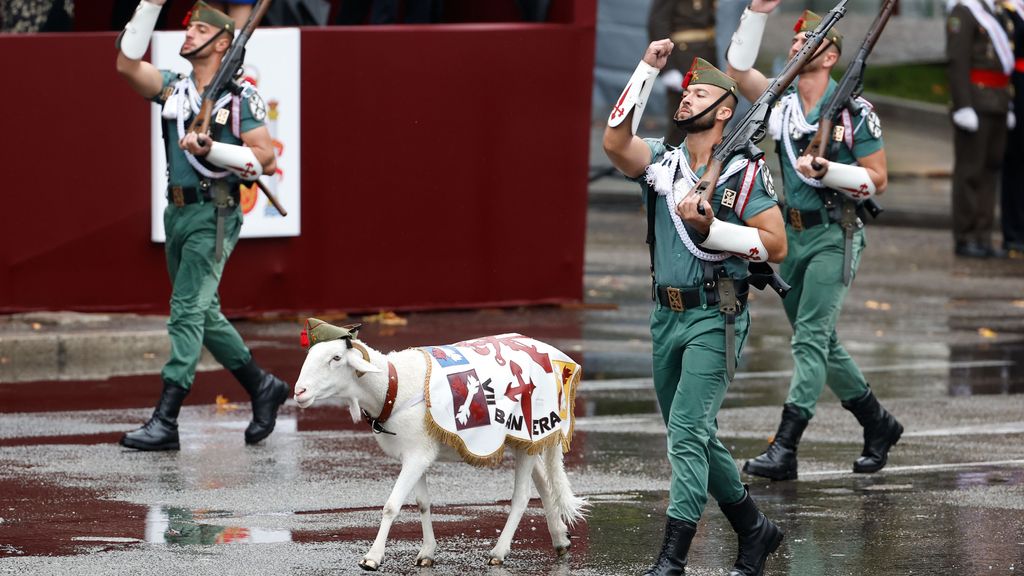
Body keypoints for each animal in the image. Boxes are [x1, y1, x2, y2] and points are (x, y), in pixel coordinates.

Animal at [292, 334, 589, 565]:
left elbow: (391, 506)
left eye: (336, 358)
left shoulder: (417, 456)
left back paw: (499, 551)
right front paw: (427, 553)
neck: (393, 385)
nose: (299, 392)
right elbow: (422, 504)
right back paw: (560, 538)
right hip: (524, 440)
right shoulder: (416, 454)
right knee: (544, 482)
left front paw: (372, 558)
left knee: (522, 496)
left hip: (528, 432)